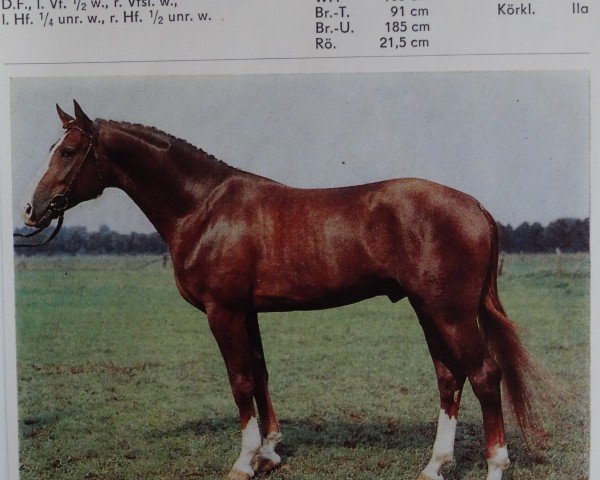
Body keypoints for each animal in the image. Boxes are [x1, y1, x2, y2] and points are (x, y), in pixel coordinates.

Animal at [18, 102, 536, 480]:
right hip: (429, 309)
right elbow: (261, 374)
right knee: (450, 377)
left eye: (68, 151)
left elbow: (240, 381)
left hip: (451, 312)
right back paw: (435, 466)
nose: (31, 210)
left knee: (485, 375)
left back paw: (495, 466)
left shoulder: (223, 311)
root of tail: (476, 208)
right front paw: (269, 452)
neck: (203, 207)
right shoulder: (246, 311)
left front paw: (244, 461)